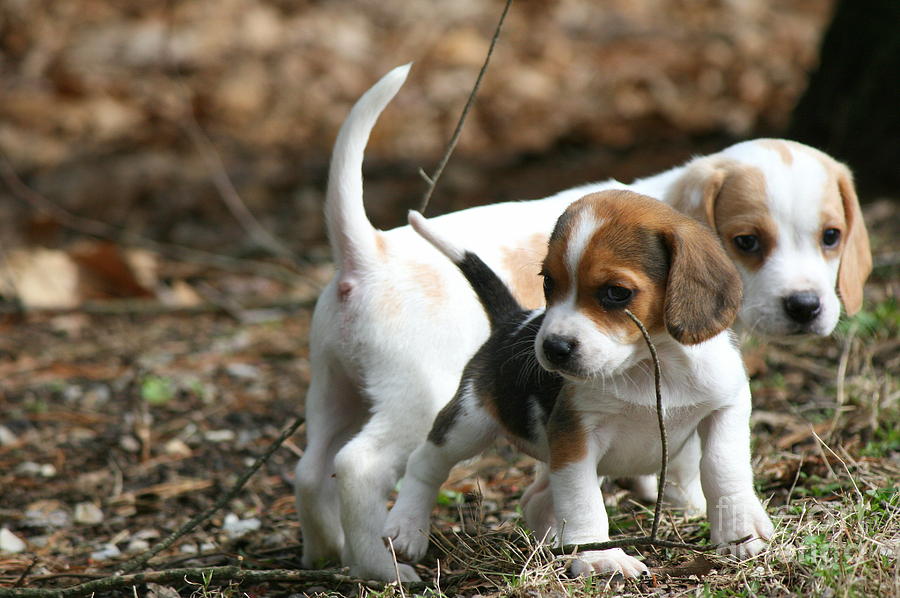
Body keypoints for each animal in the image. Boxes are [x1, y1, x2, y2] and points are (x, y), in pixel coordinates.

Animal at [382, 191, 772, 576]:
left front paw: (739, 530)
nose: (552, 348)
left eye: (616, 292)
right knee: (425, 463)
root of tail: (512, 319)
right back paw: (406, 528)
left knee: (535, 499)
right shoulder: (575, 435)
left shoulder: (727, 406)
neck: (651, 364)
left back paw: (554, 545)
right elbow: (582, 500)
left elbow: (722, 466)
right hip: (469, 422)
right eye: (547, 282)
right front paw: (599, 555)